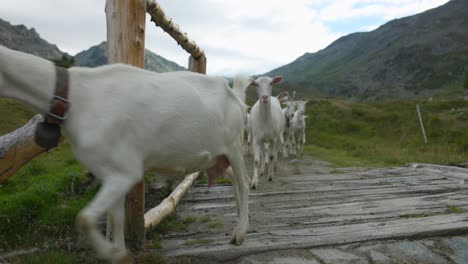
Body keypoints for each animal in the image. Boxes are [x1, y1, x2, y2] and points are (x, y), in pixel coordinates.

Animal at [0, 45, 250, 262]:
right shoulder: (110, 173)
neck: (78, 97)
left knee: (244, 182)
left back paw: (240, 232)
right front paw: (120, 252)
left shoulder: (125, 172)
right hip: (214, 157)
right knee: (231, 178)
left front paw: (113, 254)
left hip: (235, 146)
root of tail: (235, 96)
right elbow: (114, 216)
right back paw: (239, 218)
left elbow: (84, 218)